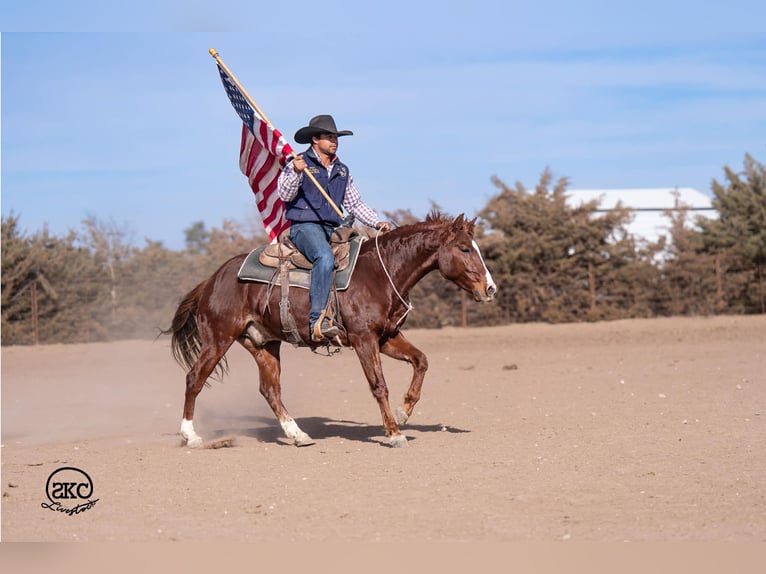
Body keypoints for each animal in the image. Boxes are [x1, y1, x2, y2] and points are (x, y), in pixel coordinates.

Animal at [166, 212, 497, 448]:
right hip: (218, 339)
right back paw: (190, 436)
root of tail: (213, 279)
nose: (490, 288)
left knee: (270, 389)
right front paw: (393, 433)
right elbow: (379, 385)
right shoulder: (364, 340)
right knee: (194, 379)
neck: (380, 273)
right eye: (465, 248)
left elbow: (421, 361)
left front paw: (404, 412)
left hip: (263, 344)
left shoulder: (387, 338)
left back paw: (298, 435)